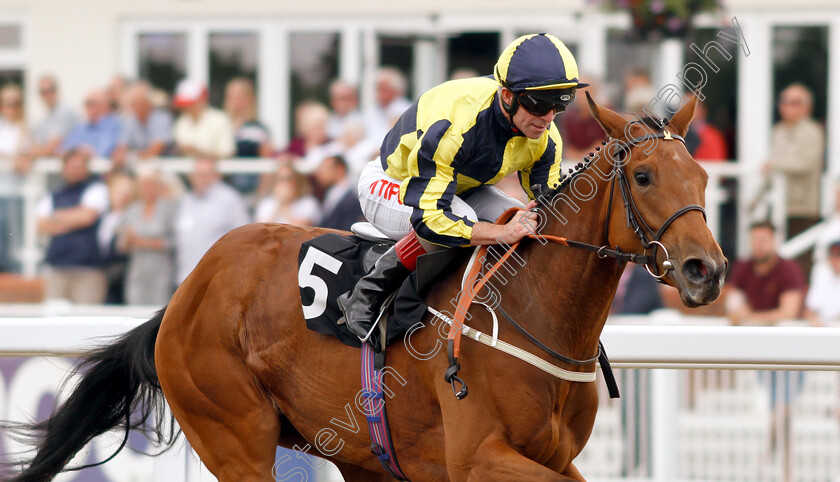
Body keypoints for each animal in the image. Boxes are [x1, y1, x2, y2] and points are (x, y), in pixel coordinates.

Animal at [4, 92, 728, 480]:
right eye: (643, 177)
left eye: (701, 176)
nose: (708, 271)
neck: (537, 314)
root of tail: (184, 295)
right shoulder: (478, 457)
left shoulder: (551, 456)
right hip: (234, 434)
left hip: (360, 451)